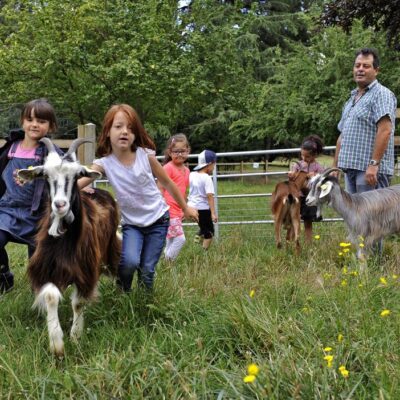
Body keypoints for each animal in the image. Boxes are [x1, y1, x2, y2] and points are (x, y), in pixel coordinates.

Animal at [18, 138, 120, 356]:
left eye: (77, 174)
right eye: (45, 175)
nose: (60, 205)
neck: (63, 243)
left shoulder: (85, 271)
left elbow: (78, 303)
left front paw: (75, 336)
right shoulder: (47, 269)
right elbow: (51, 296)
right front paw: (57, 344)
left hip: (110, 250)